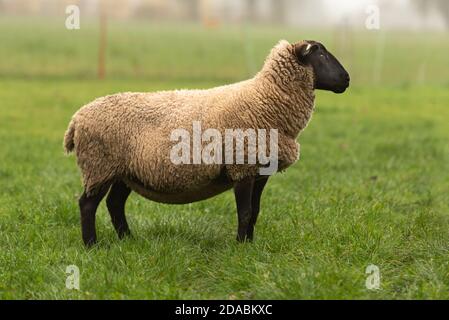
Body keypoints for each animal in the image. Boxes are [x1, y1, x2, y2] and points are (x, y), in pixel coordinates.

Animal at [63, 39, 350, 245]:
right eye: (320, 55)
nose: (347, 79)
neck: (264, 98)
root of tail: (77, 119)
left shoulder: (260, 171)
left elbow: (255, 211)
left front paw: (250, 245)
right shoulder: (242, 165)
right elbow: (245, 212)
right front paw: (240, 247)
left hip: (124, 171)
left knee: (114, 204)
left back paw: (128, 240)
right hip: (99, 165)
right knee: (87, 204)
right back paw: (92, 245)